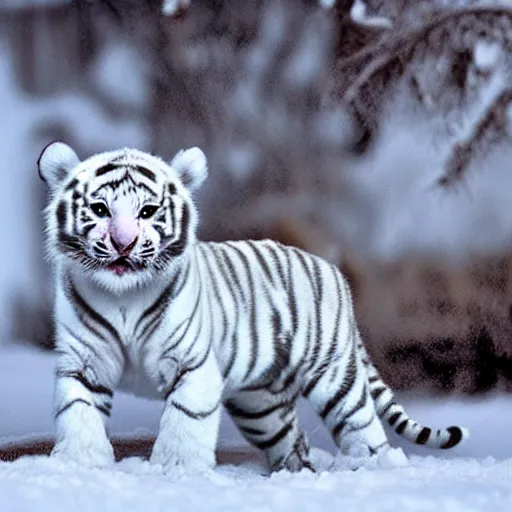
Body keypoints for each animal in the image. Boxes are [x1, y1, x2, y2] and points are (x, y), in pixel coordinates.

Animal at [37, 142, 468, 474]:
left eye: (148, 212)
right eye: (99, 209)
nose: (123, 244)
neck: (124, 295)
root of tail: (333, 268)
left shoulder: (192, 365)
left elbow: (184, 420)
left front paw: (176, 469)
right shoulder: (84, 363)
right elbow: (78, 411)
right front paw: (79, 464)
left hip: (334, 377)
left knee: (362, 426)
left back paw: (376, 467)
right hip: (259, 404)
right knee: (291, 438)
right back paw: (293, 474)